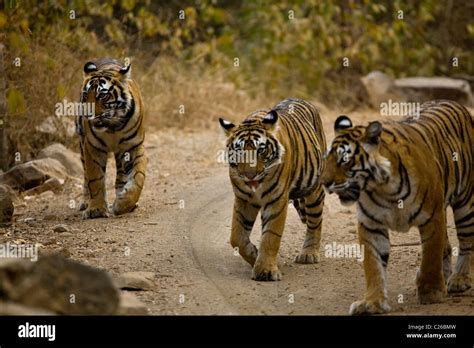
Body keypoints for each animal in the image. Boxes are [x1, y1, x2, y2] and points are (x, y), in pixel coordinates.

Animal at [75, 58, 146, 219]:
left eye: (102, 96)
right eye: (85, 96)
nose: (87, 115)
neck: (113, 126)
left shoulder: (133, 146)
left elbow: (138, 177)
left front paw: (123, 204)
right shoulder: (92, 147)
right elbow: (95, 179)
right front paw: (96, 209)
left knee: (121, 175)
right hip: (82, 145)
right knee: (85, 175)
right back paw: (85, 201)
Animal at [218, 98, 326, 280]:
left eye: (261, 150)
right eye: (239, 151)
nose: (249, 175)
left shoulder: (276, 200)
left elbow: (271, 236)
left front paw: (265, 271)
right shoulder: (244, 200)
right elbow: (237, 237)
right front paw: (254, 255)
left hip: (314, 190)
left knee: (315, 222)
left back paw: (308, 254)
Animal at [320, 100, 472, 316]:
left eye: (344, 160)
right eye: (328, 158)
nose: (324, 183)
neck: (383, 188)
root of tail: (451, 102)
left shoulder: (432, 217)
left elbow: (430, 256)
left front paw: (431, 292)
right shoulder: (371, 225)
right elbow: (373, 266)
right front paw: (372, 302)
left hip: (465, 202)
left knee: (467, 242)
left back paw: (459, 279)